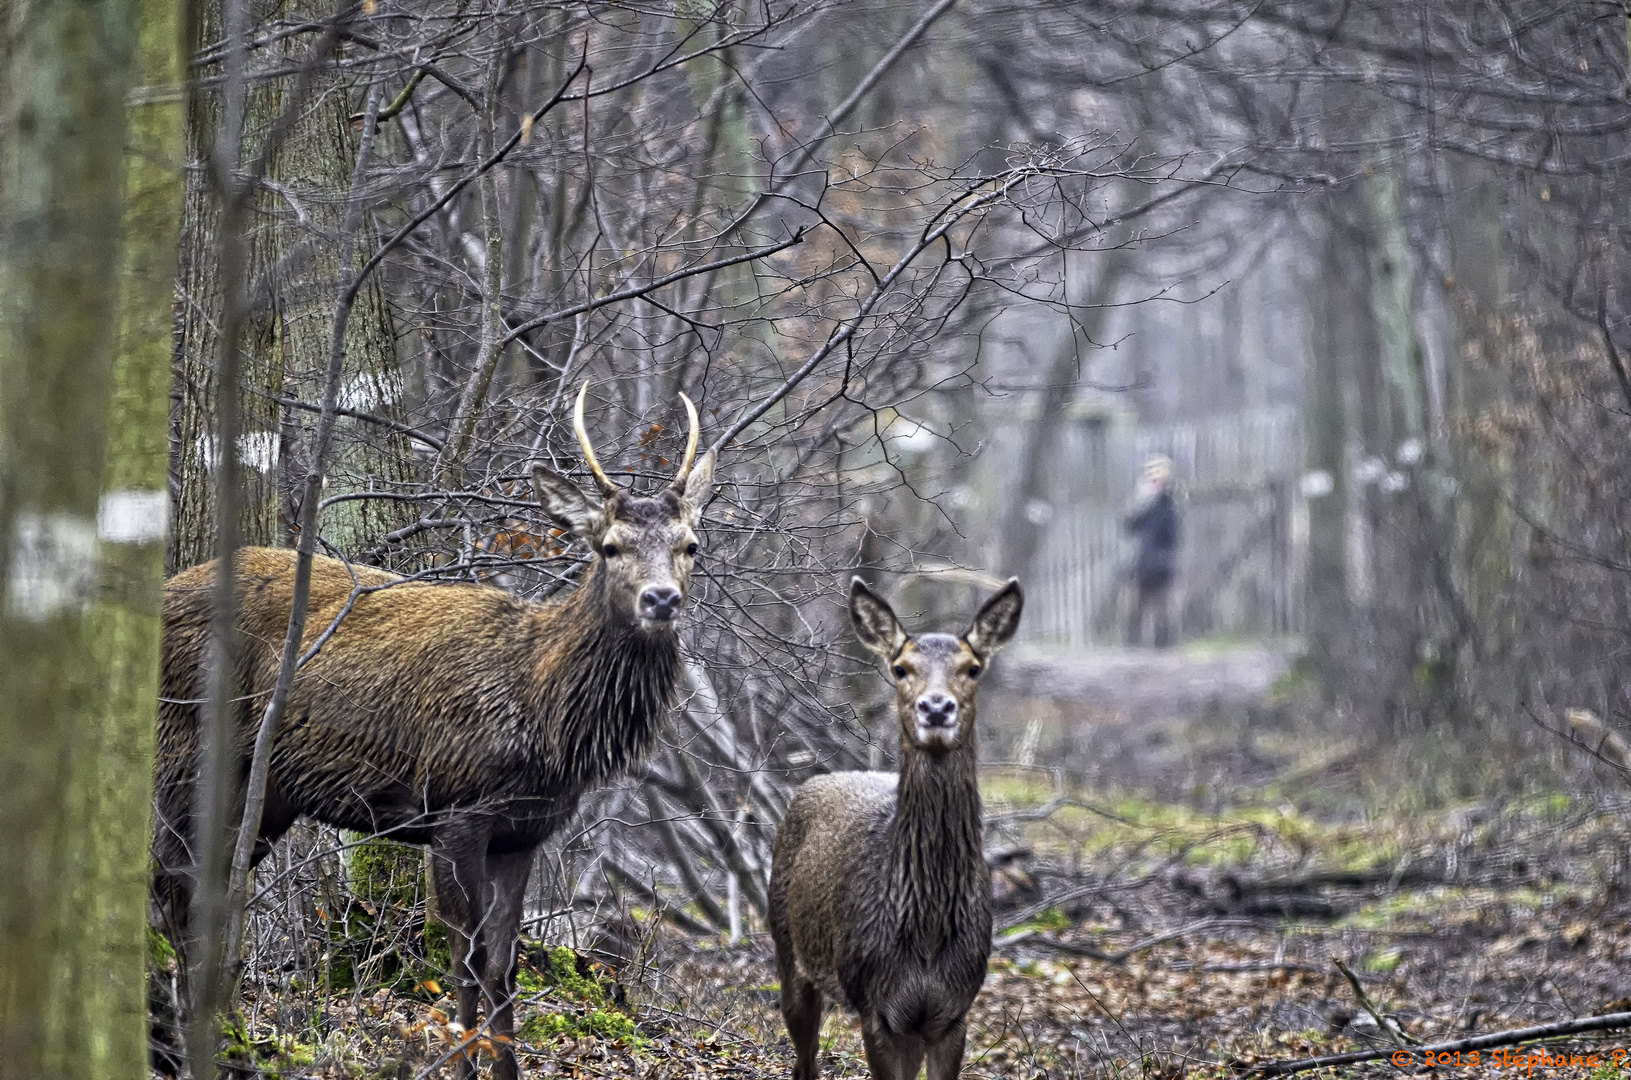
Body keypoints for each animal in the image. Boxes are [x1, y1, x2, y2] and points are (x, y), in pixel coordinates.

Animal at [154, 385, 714, 1080]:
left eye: (691, 544)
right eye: (609, 545)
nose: (661, 599)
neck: (546, 718)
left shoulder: (523, 833)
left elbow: (504, 969)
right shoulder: (456, 811)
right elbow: (464, 962)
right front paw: (461, 1064)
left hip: (268, 796)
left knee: (201, 890)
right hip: (186, 748)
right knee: (172, 885)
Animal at [766, 580, 1017, 1080]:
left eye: (973, 667)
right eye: (901, 668)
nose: (936, 707)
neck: (925, 933)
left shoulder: (951, 1012)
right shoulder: (875, 1006)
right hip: (786, 943)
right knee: (804, 1056)